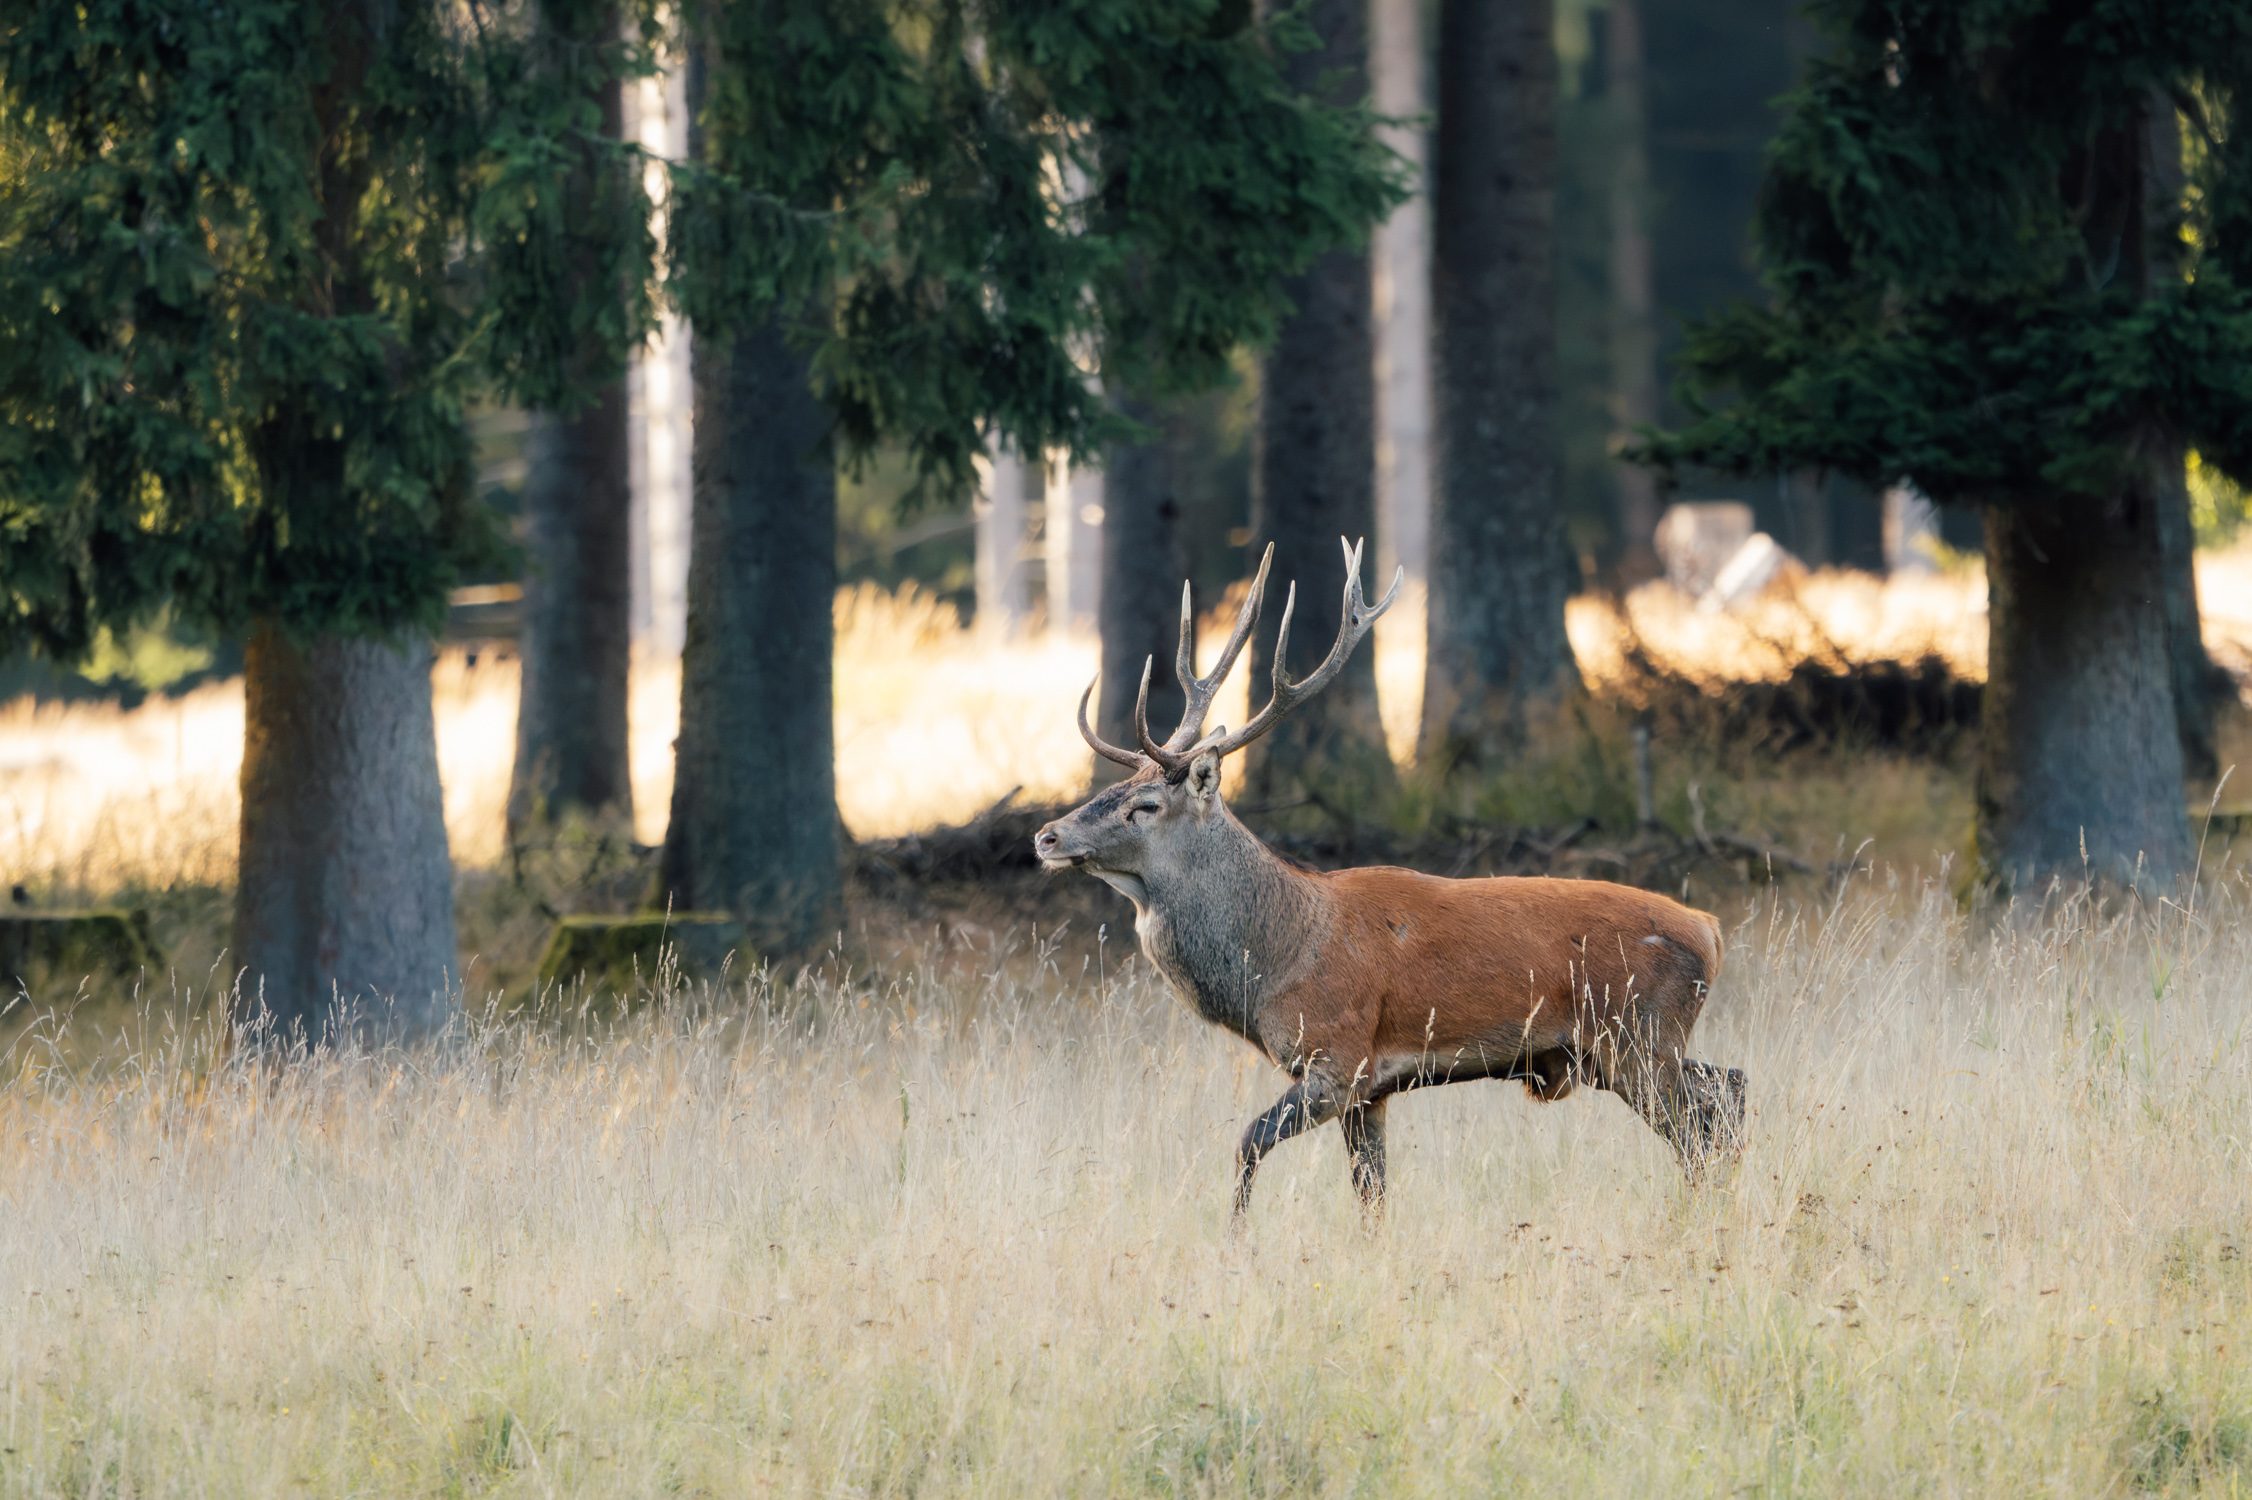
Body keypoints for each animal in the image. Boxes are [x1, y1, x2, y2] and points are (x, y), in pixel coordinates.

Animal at [1034, 539, 1747, 1220]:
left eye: (1145, 805)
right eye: (1112, 789)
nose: (1047, 836)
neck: (1276, 959)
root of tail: (1711, 931)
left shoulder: (1338, 1059)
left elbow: (1246, 1145)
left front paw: (1235, 1238)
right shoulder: (1368, 1092)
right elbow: (1371, 1194)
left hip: (1639, 1036)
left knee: (1704, 1125)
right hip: (1626, 1052)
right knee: (1730, 1088)